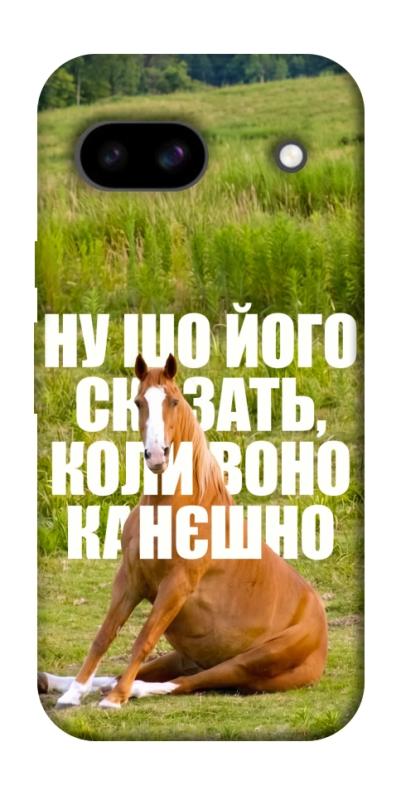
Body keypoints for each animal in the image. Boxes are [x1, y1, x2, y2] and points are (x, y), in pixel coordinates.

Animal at [39, 353, 328, 709]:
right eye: (138, 402)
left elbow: (144, 639)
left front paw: (115, 700)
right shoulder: (130, 578)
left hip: (249, 662)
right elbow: (104, 635)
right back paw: (55, 682)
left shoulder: (176, 586)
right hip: (186, 655)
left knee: (189, 683)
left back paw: (126, 691)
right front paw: (74, 692)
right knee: (149, 673)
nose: (156, 455)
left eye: (173, 401)